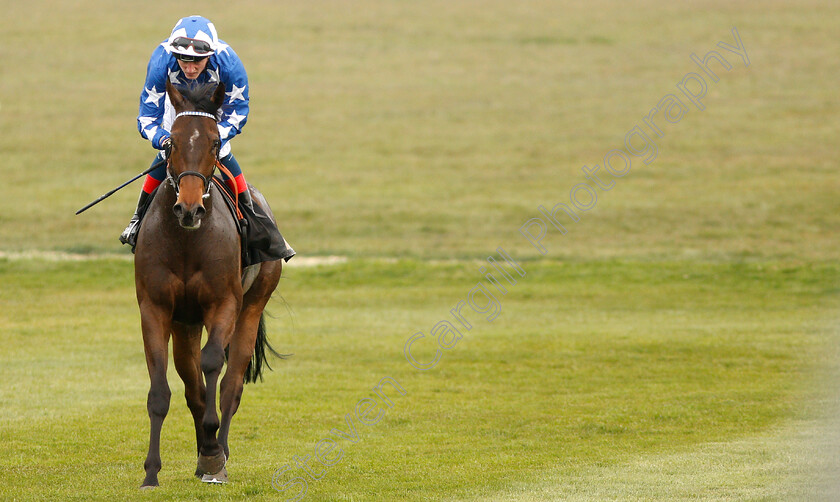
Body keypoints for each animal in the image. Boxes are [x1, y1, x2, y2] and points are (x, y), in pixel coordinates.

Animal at [135, 81, 286, 486]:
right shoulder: (156, 308)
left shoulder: (224, 304)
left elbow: (214, 363)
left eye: (216, 142)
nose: (189, 209)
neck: (187, 241)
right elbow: (163, 389)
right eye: (171, 142)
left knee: (230, 383)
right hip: (185, 324)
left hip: (252, 306)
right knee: (193, 386)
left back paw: (219, 451)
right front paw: (152, 471)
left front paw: (215, 455)